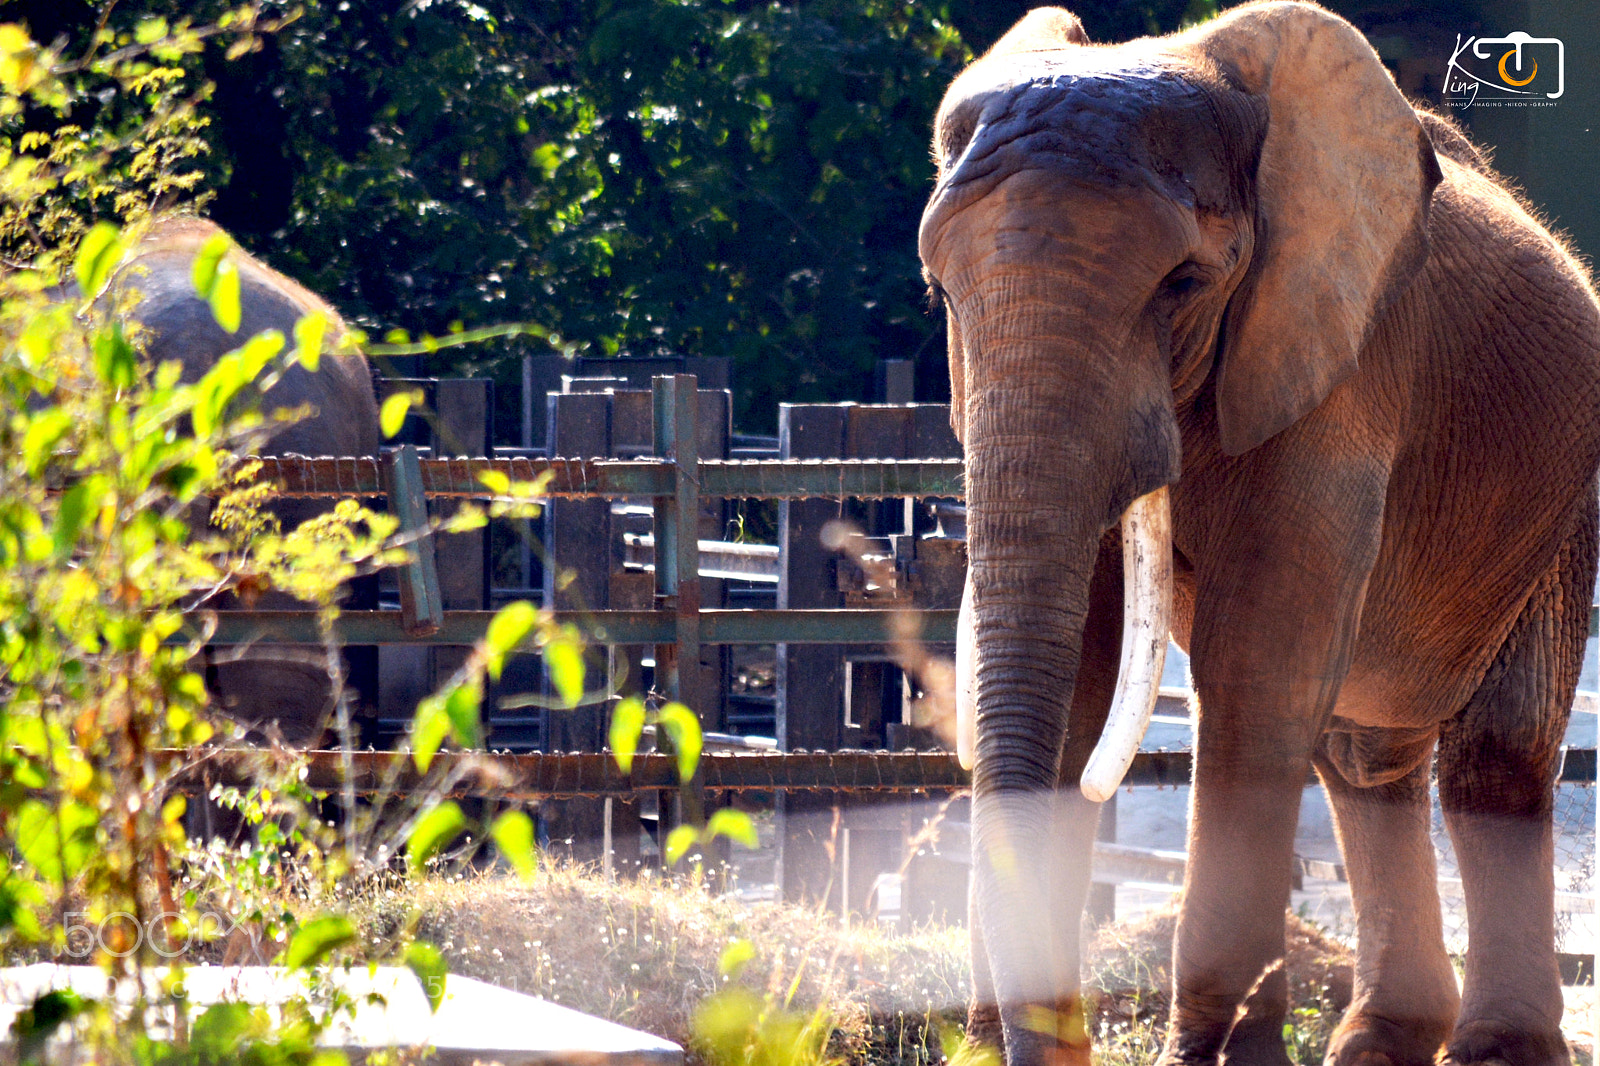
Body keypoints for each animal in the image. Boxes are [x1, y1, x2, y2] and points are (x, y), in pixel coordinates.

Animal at [918, 5, 1600, 1066]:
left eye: (1183, 283)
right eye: (942, 294)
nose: (1005, 1039)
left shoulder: (1342, 370)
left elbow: (1255, 672)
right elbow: (1085, 672)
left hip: (1561, 498)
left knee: (1494, 752)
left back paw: (1492, 1050)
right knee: (1361, 755)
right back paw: (1379, 1042)